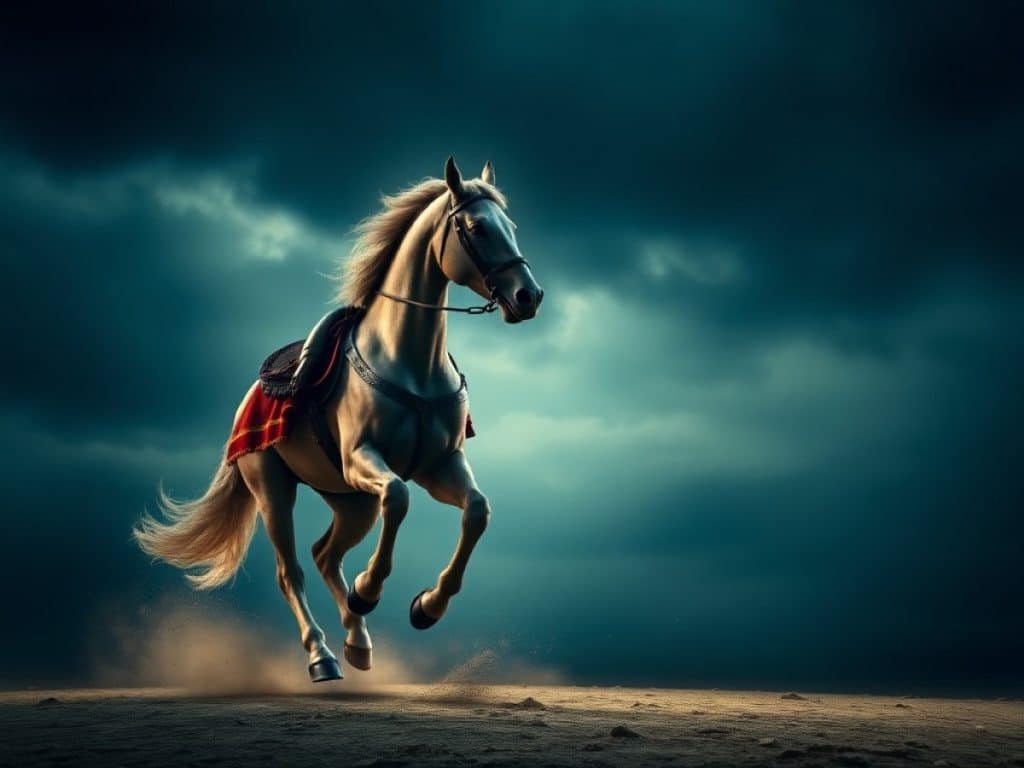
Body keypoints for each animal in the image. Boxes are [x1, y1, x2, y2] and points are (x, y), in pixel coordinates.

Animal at [134, 157, 544, 682]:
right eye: (475, 227)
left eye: (510, 226)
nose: (528, 296)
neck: (410, 363)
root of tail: (245, 401)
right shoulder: (362, 459)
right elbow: (399, 497)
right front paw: (370, 589)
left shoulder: (441, 464)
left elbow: (476, 510)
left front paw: (426, 607)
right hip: (273, 488)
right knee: (291, 570)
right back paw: (323, 656)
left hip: (351, 503)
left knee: (325, 555)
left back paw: (358, 642)